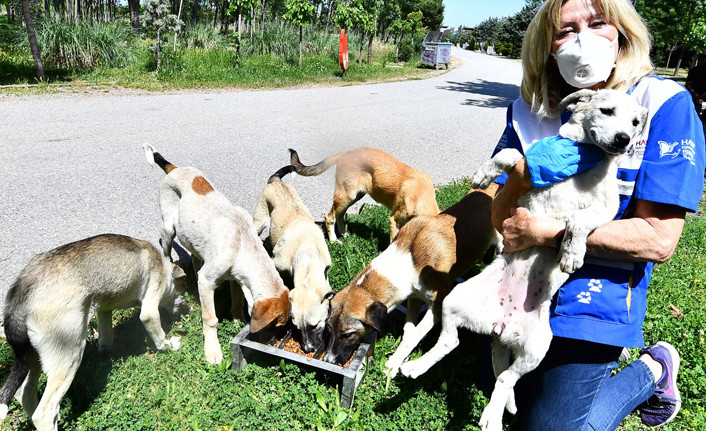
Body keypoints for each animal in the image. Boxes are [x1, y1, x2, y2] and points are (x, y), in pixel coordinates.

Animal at [0, 236, 187, 431]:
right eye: (184, 286)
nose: (188, 309)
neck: (162, 264)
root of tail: (19, 294)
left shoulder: (104, 309)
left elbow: (106, 336)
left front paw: (107, 351)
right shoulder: (150, 308)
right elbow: (158, 334)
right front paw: (169, 345)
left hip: (33, 356)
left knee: (23, 393)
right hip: (69, 353)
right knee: (43, 414)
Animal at [143, 144, 288, 364]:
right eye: (275, 325)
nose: (274, 342)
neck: (242, 242)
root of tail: (175, 168)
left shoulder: (236, 278)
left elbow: (237, 303)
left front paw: (238, 321)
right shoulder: (207, 281)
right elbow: (210, 319)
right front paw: (212, 350)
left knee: (195, 258)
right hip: (168, 229)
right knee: (167, 253)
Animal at [288, 148, 438, 243]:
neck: (421, 196)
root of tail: (344, 154)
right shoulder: (394, 220)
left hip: (355, 196)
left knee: (339, 214)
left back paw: (344, 234)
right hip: (346, 195)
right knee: (329, 216)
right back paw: (334, 240)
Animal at [322, 183, 498, 372]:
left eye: (348, 334)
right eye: (329, 329)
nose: (329, 360)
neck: (409, 259)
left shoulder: (437, 305)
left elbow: (415, 334)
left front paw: (392, 364)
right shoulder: (414, 298)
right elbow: (409, 332)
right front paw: (402, 357)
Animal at [398, 88, 648, 431]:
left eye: (636, 122)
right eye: (607, 111)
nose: (624, 139)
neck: (584, 160)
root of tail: (502, 327)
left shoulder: (608, 209)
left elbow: (579, 219)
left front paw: (571, 252)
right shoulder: (524, 177)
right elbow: (515, 155)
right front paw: (484, 173)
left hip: (537, 347)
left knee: (505, 378)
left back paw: (492, 415)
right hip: (455, 299)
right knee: (452, 343)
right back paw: (417, 367)